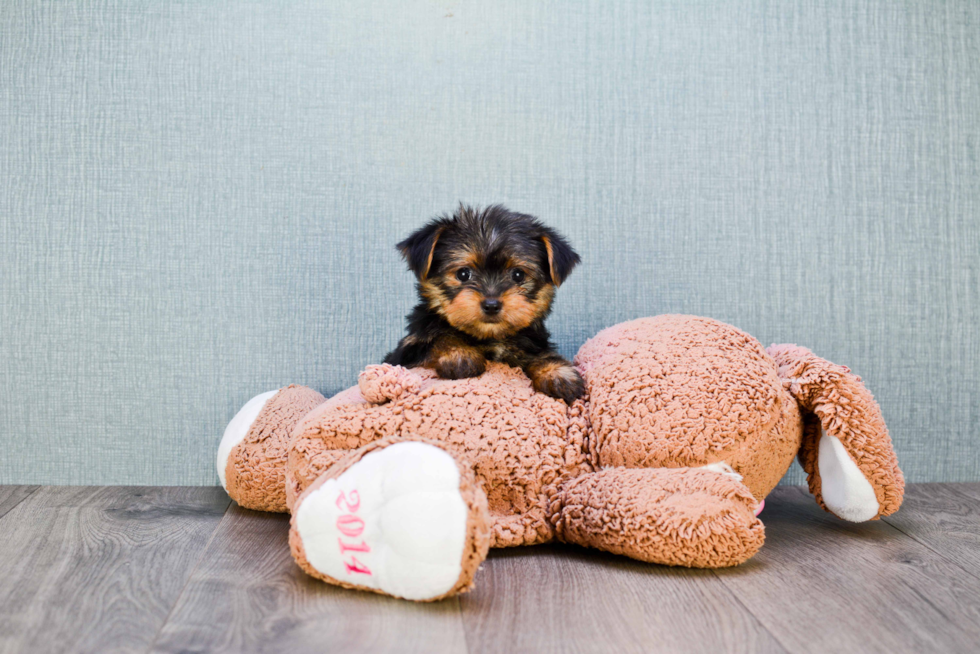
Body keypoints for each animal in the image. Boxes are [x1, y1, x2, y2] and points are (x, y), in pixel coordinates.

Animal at [382, 204, 584, 404]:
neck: (490, 337)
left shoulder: (531, 345)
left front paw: (558, 373)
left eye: (518, 275)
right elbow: (439, 339)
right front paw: (460, 355)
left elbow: (542, 354)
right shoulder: (408, 351)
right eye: (463, 274)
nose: (492, 304)